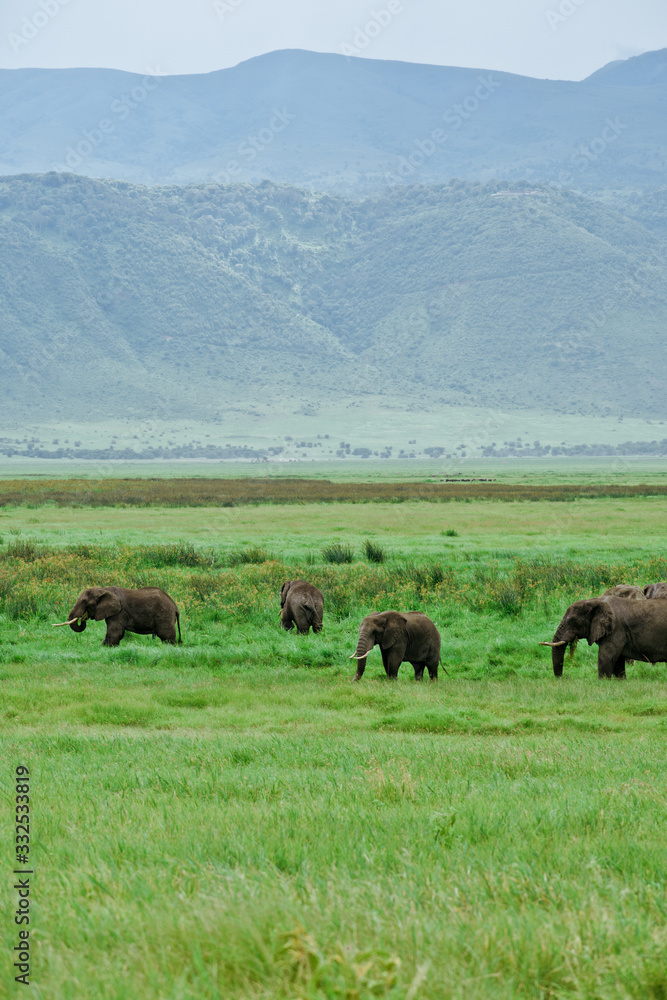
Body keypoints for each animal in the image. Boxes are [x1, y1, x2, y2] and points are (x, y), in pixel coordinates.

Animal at [53, 584, 183, 648]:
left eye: (86, 602)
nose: (83, 617)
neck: (102, 590)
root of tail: (175, 607)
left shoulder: (119, 612)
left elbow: (115, 631)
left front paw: (109, 648)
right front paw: (103, 648)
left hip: (164, 615)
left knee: (167, 636)